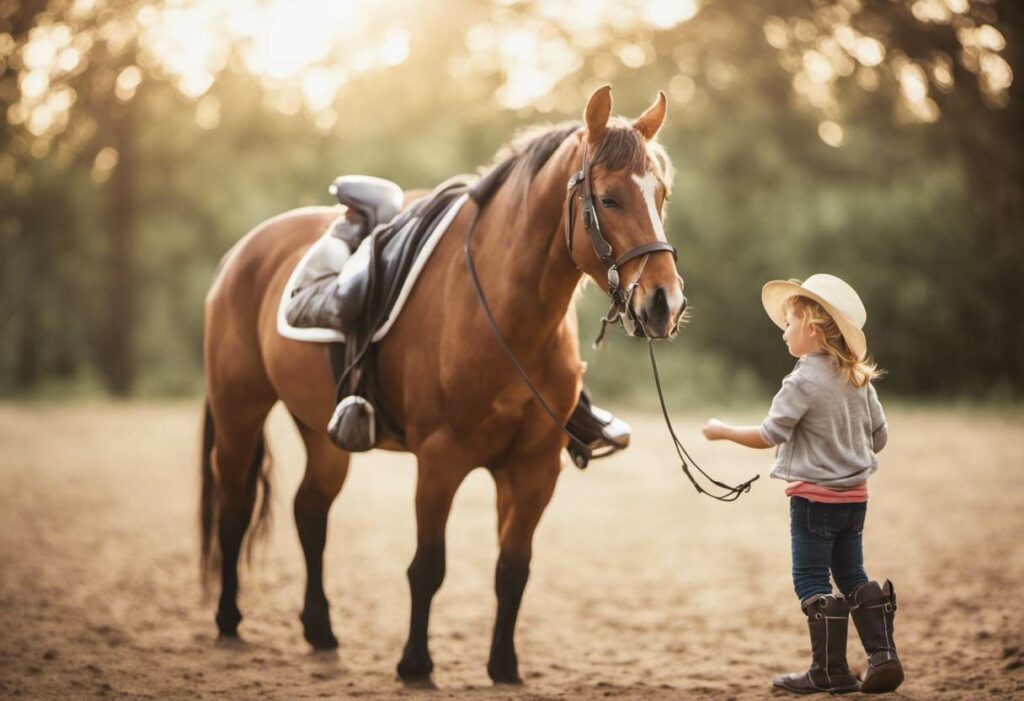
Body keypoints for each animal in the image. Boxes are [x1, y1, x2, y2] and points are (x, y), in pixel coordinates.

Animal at [198, 84, 684, 679]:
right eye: (611, 199)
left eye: (661, 195)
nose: (665, 303)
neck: (503, 313)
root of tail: (241, 253)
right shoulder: (439, 458)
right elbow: (428, 566)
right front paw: (415, 664)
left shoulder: (533, 468)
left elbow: (513, 569)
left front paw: (503, 667)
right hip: (238, 411)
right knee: (235, 507)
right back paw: (228, 620)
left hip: (322, 432)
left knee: (309, 513)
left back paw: (320, 630)